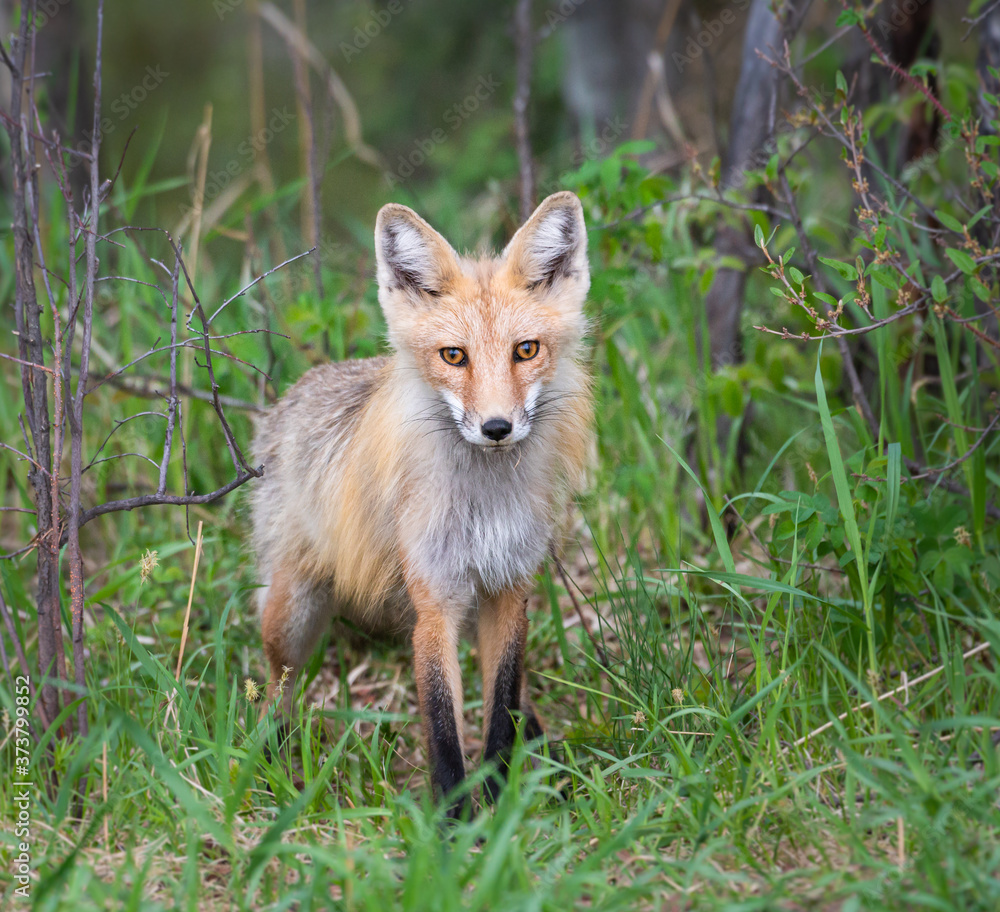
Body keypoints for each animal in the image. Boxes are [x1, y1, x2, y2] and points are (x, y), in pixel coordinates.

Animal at [251, 190, 593, 813]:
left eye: (526, 350)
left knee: (520, 699)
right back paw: (267, 753)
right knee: (276, 686)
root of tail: (297, 389)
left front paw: (500, 799)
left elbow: (501, 705)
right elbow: (441, 725)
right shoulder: (435, 603)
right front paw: (456, 821)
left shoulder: (509, 591)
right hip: (293, 615)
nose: (497, 427)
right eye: (453, 356)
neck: (483, 506)